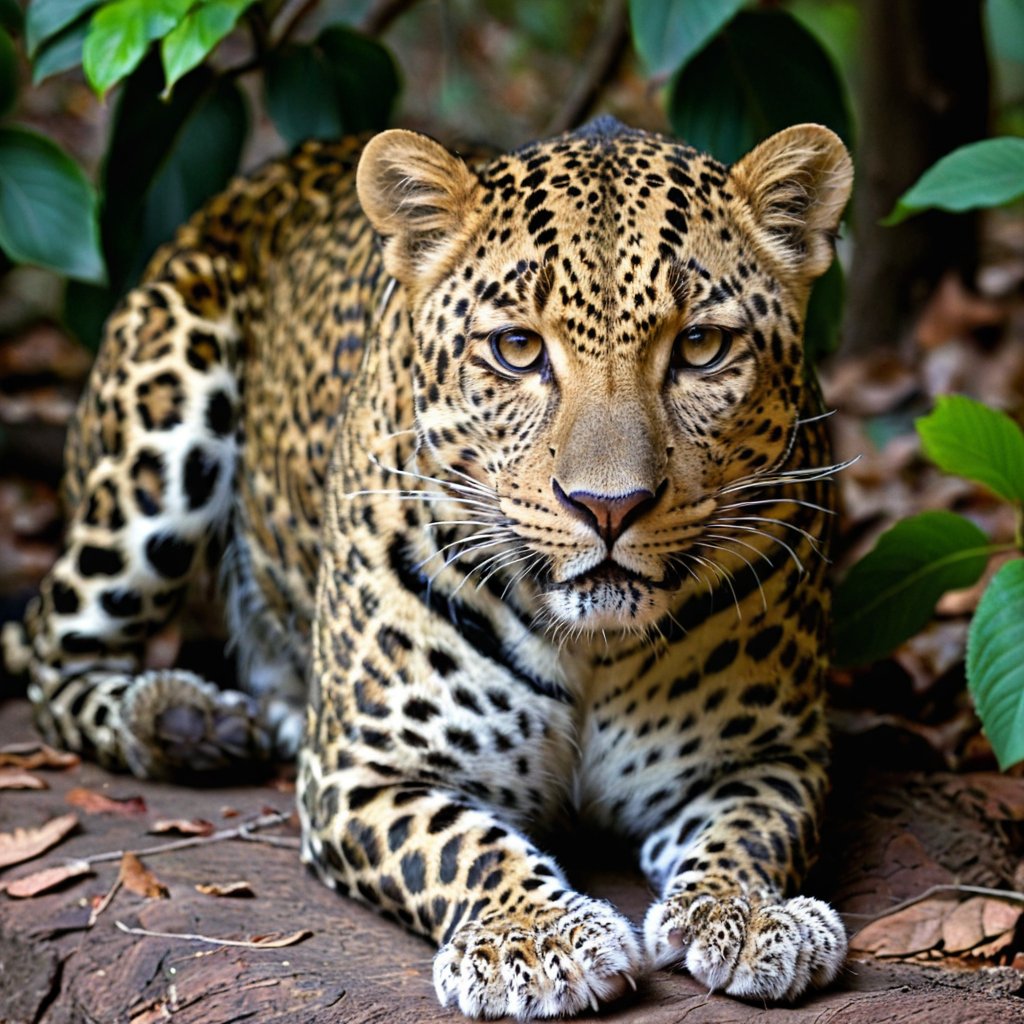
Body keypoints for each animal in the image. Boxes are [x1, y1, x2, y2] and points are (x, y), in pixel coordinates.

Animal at [8, 116, 853, 1018]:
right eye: (517, 348)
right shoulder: (363, 773)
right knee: (53, 653)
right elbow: (461, 844)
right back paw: (180, 721)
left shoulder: (771, 755)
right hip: (156, 451)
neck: (591, 646)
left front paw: (752, 915)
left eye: (700, 346)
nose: (608, 507)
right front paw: (536, 938)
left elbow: (752, 831)